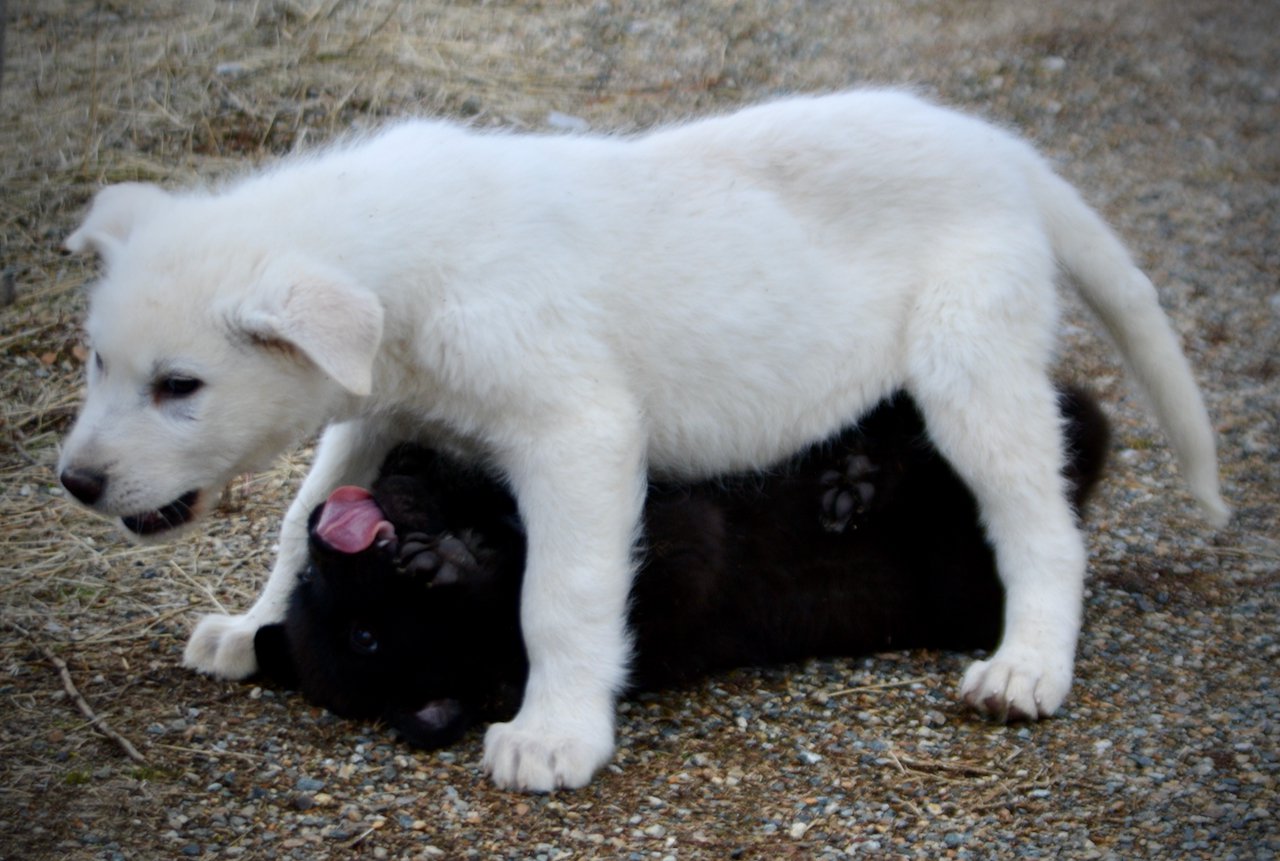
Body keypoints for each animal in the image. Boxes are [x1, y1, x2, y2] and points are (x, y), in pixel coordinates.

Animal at [252, 388, 1111, 747]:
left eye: (304, 582)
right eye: (362, 639)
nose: (322, 541)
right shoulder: (682, 557)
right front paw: (457, 562)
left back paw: (856, 469)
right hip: (960, 574)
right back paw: (869, 478)